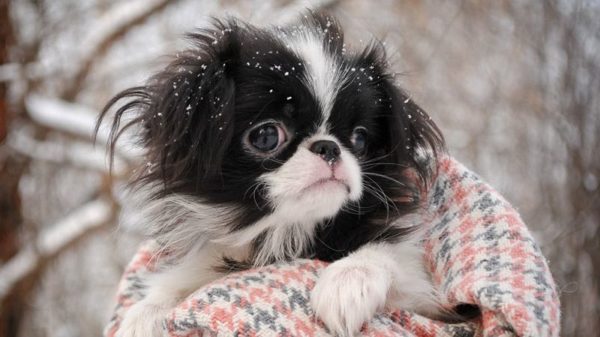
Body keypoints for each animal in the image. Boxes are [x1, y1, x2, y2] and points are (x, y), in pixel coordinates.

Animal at [101, 11, 452, 334]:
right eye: (267, 136)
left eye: (360, 139)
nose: (329, 147)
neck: (287, 233)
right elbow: (172, 286)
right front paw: (144, 314)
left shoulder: (420, 293)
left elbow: (388, 254)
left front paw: (347, 283)